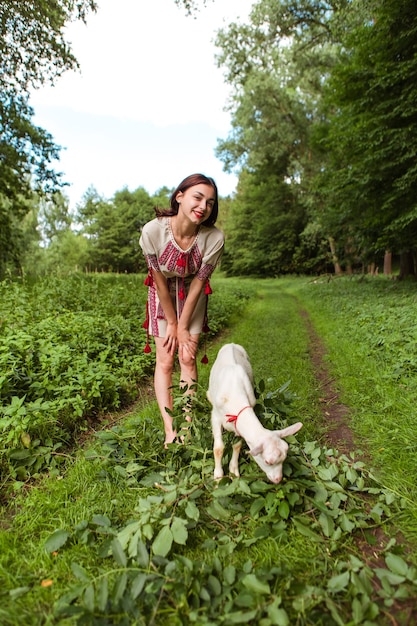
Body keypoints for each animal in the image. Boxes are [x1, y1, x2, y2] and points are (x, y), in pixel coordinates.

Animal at [206, 342, 300, 482]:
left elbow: (237, 445)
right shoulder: (215, 416)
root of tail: (231, 343)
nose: (278, 480)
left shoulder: (239, 423)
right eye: (267, 461)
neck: (235, 397)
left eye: (284, 458)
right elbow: (218, 448)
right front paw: (218, 476)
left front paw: (234, 471)